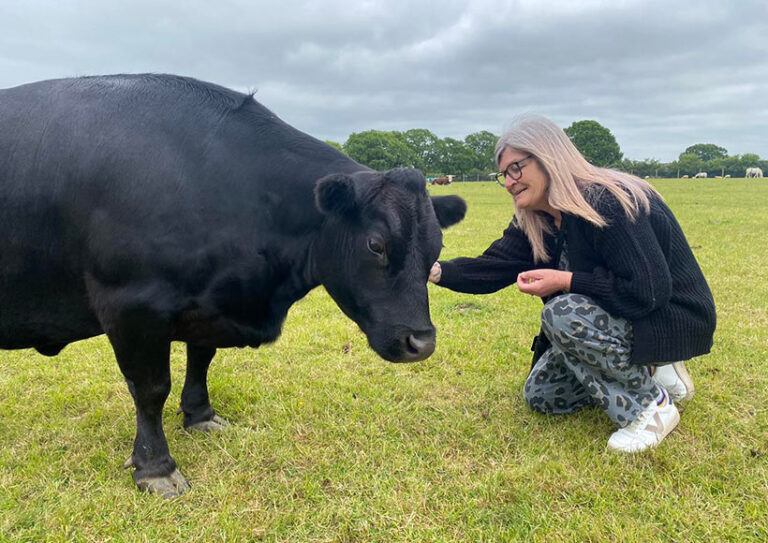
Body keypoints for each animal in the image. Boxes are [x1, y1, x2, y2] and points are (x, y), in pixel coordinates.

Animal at [0, 74, 468, 500]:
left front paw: (200, 415)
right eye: (376, 244)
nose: (421, 342)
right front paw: (155, 467)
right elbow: (150, 389)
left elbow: (201, 360)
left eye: (437, 247)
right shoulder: (131, 306)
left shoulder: (208, 303)